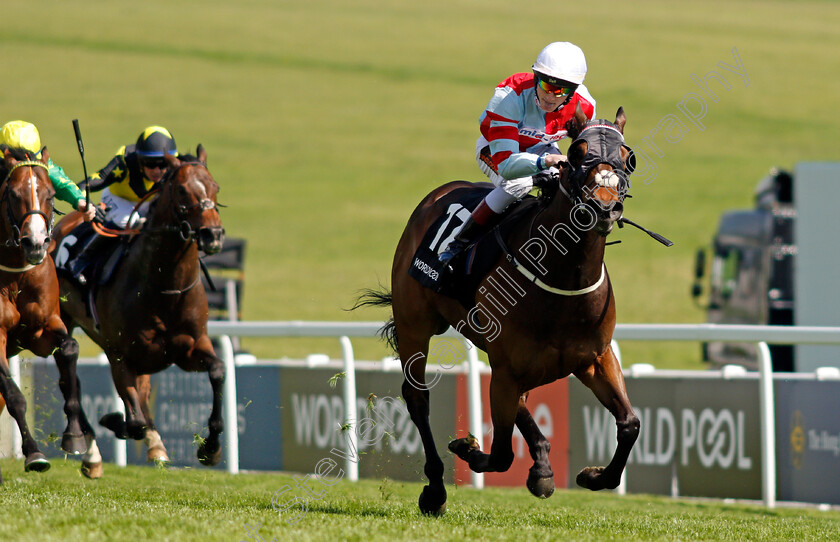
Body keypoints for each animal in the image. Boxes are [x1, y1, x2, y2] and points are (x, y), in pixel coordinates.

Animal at [0, 149, 90, 476]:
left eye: (50, 193)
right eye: (13, 193)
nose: (36, 243)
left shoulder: (42, 329)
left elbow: (70, 350)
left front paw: (75, 435)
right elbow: (14, 396)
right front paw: (34, 453)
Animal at [50, 147, 225, 478]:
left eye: (215, 187)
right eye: (182, 190)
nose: (213, 235)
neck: (165, 287)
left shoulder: (189, 347)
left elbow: (218, 371)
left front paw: (210, 448)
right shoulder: (120, 355)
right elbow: (135, 421)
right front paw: (112, 420)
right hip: (60, 320)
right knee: (71, 380)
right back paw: (89, 449)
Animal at [360, 107, 644, 520]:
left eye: (627, 157)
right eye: (577, 153)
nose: (604, 206)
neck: (561, 277)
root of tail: (437, 195)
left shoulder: (593, 358)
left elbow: (629, 424)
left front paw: (592, 476)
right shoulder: (507, 367)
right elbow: (500, 454)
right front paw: (466, 447)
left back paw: (540, 466)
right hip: (415, 323)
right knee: (417, 397)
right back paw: (435, 489)